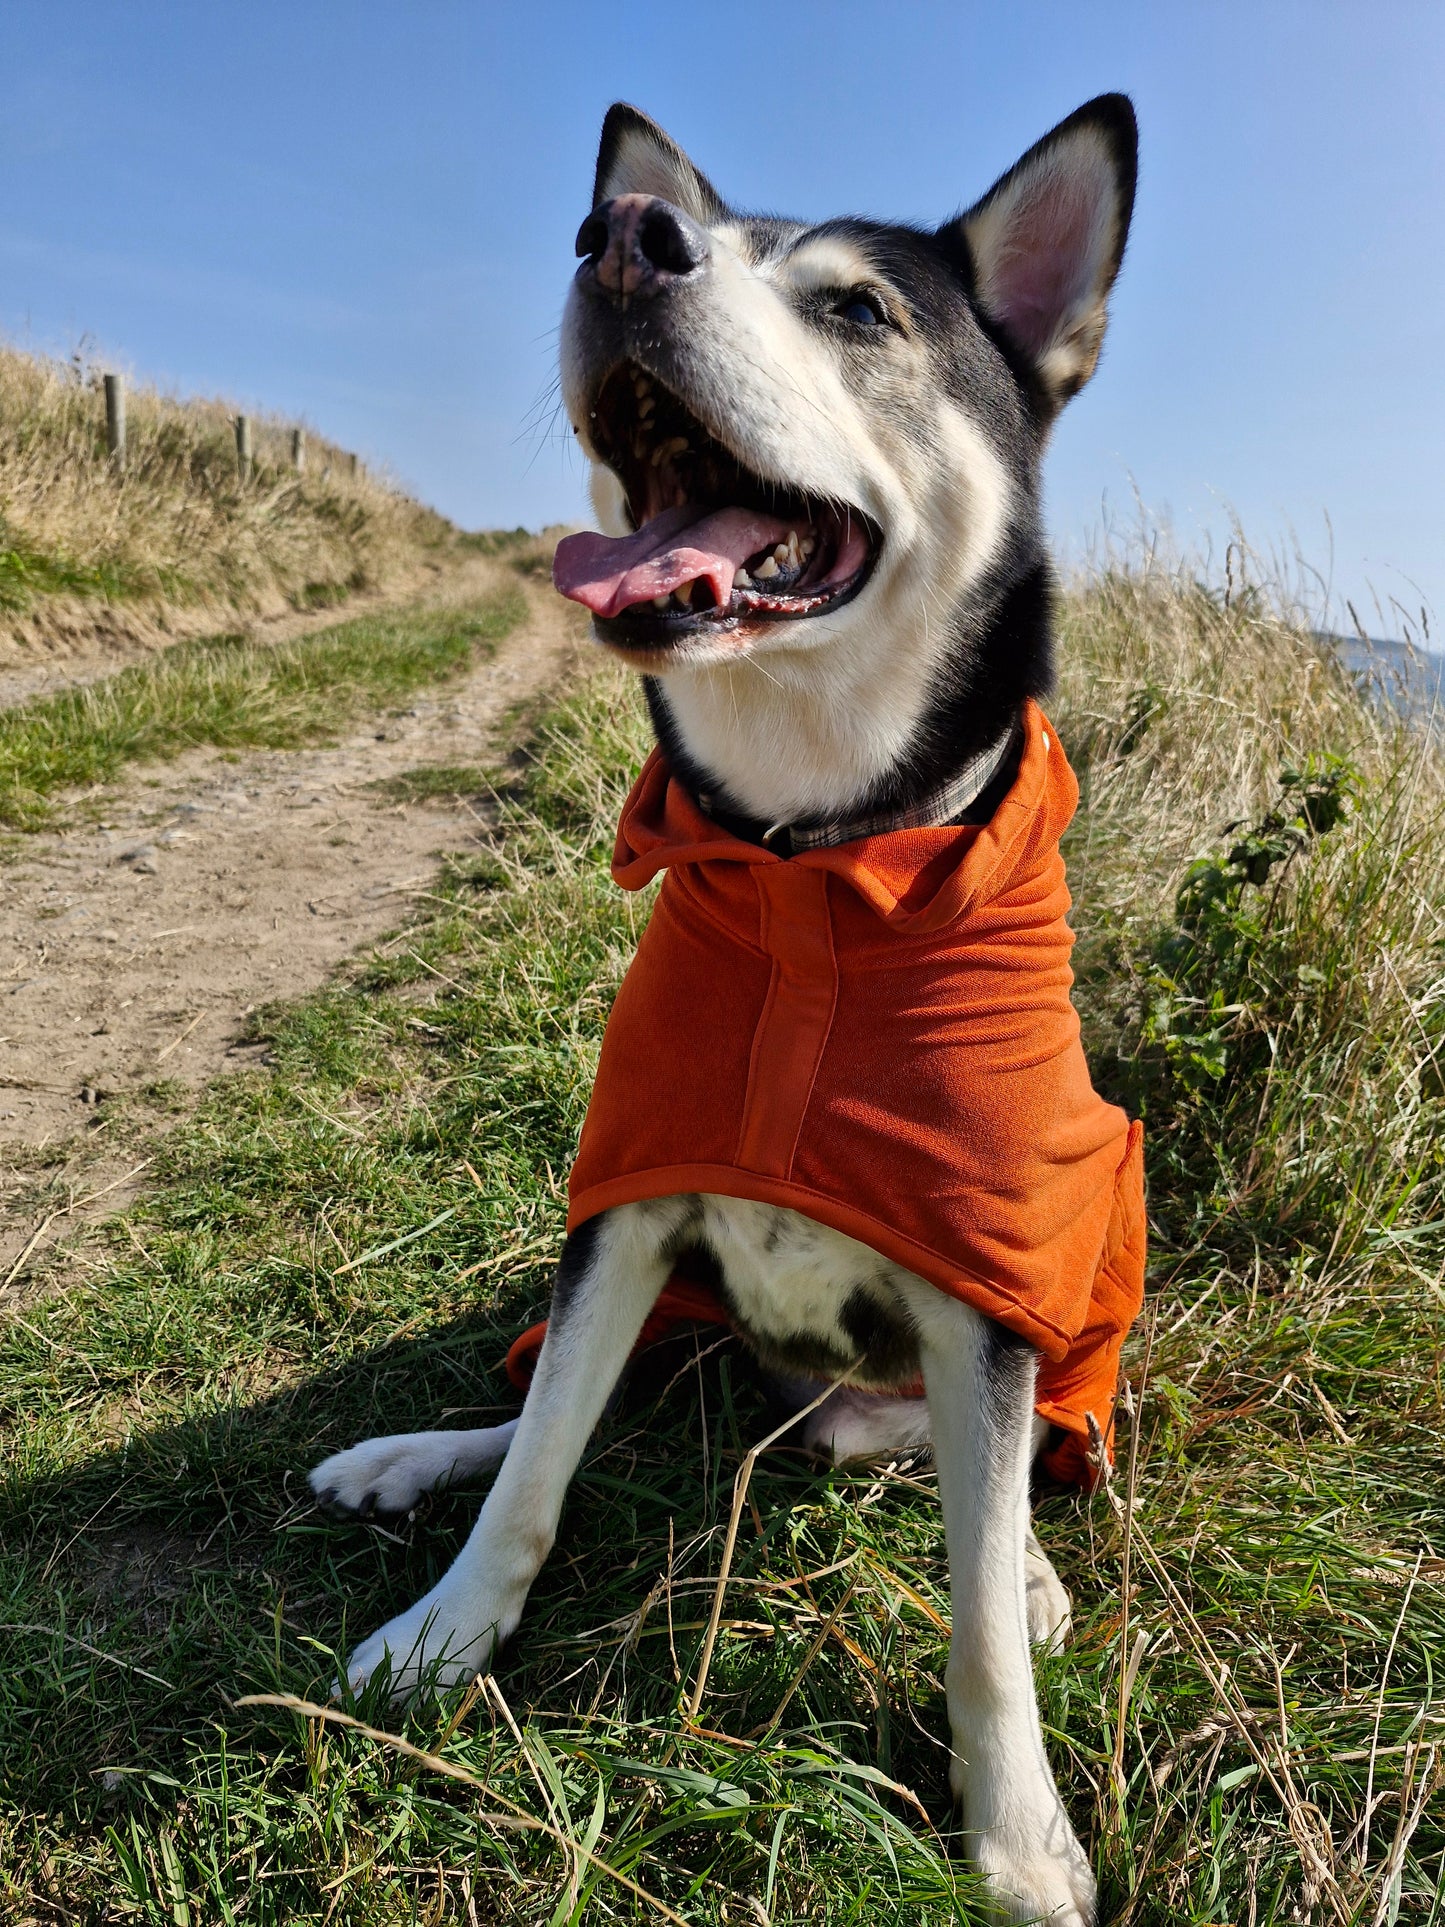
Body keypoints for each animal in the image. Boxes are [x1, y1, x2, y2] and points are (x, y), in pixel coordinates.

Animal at [314, 101, 1140, 1927]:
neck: (806, 853)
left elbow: (981, 1624)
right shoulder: (627, 1202)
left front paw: (1018, 1831)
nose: (623, 239)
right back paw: (414, 1453)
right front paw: (442, 1634)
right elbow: (546, 1463)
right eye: (628, 230)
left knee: (1022, 1475)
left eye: (859, 310)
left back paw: (1041, 1570)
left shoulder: (980, 1288)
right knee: (563, 1398)